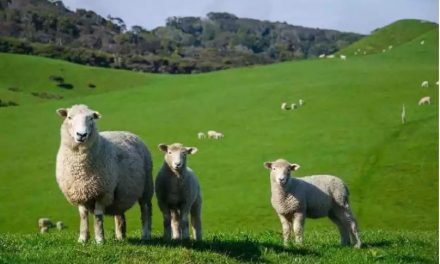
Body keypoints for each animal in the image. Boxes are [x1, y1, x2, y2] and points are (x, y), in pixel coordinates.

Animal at [55, 104, 154, 244]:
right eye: (69, 117)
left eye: (91, 118)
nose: (81, 135)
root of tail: (127, 132)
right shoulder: (79, 191)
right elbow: (83, 215)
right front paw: (83, 239)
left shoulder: (102, 192)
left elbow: (98, 216)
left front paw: (99, 240)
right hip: (121, 193)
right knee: (119, 212)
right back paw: (120, 237)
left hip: (147, 187)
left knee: (146, 209)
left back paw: (146, 235)